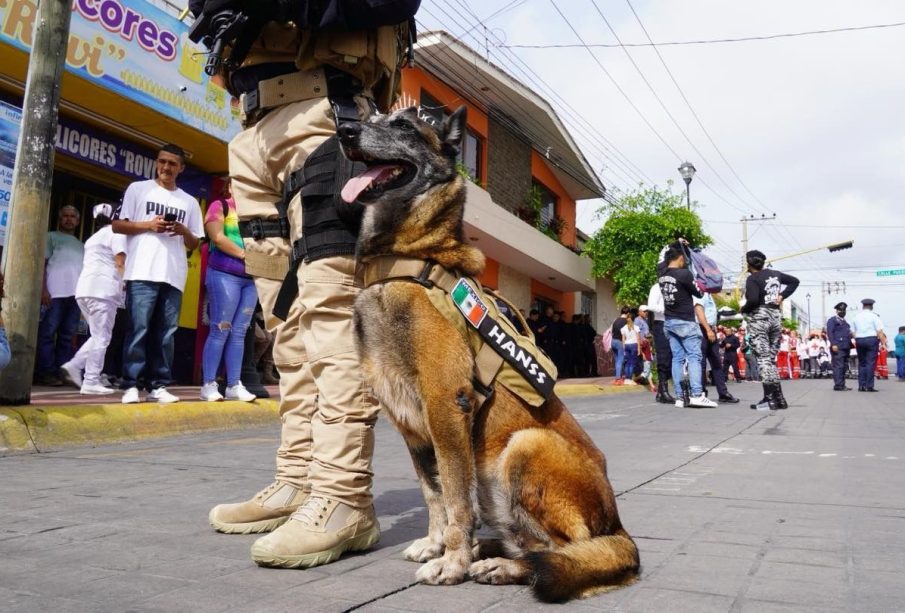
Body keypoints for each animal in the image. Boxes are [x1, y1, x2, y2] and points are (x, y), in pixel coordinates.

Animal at [336, 107, 640, 600]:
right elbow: (434, 494)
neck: (404, 261)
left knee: (564, 552)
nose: (343, 128)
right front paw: (437, 545)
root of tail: (618, 529)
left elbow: (457, 499)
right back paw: (491, 552)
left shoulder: (447, 404)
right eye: (374, 116)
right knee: (529, 543)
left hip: (526, 444)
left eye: (404, 126)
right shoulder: (412, 426)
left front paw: (451, 561)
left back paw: (501, 563)